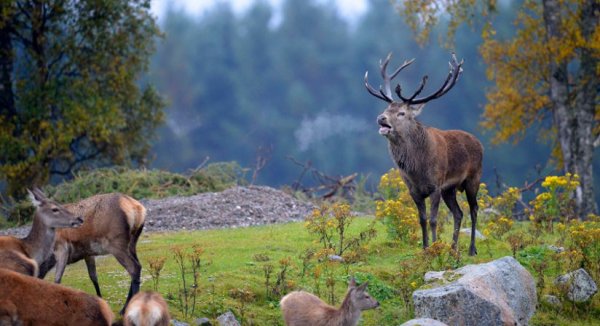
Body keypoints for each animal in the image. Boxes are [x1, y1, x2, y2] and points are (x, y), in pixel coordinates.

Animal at [364, 52, 486, 255]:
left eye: (402, 113)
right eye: (386, 109)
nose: (381, 118)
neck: (417, 168)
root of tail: (479, 143)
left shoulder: (436, 185)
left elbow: (433, 220)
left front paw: (435, 248)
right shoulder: (414, 190)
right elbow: (422, 220)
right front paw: (425, 248)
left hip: (473, 178)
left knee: (474, 209)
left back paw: (471, 249)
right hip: (449, 189)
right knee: (458, 213)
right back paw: (453, 248)